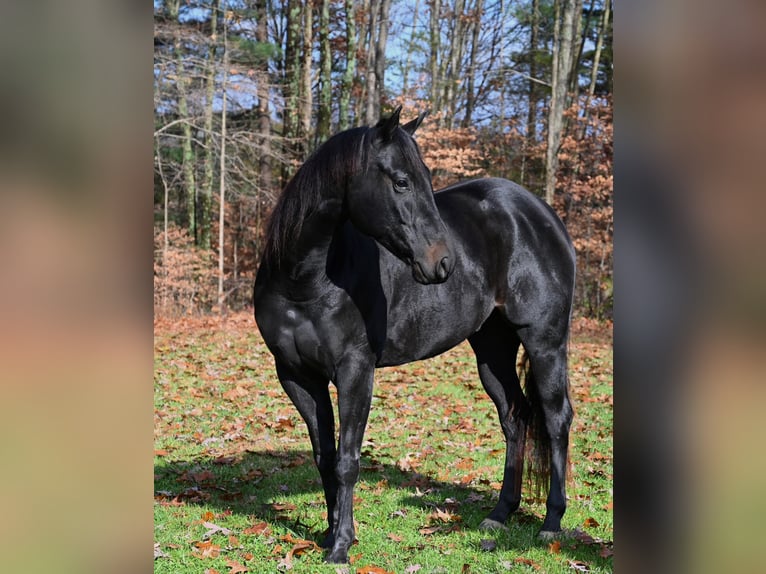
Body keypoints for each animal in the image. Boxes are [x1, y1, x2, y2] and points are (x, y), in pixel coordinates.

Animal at [253, 107, 576, 564]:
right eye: (402, 181)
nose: (442, 263)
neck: (305, 281)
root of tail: (543, 216)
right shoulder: (297, 376)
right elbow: (324, 457)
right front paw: (330, 534)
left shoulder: (355, 372)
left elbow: (347, 460)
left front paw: (341, 546)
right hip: (492, 351)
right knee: (514, 417)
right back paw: (499, 514)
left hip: (545, 344)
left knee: (555, 419)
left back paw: (551, 522)